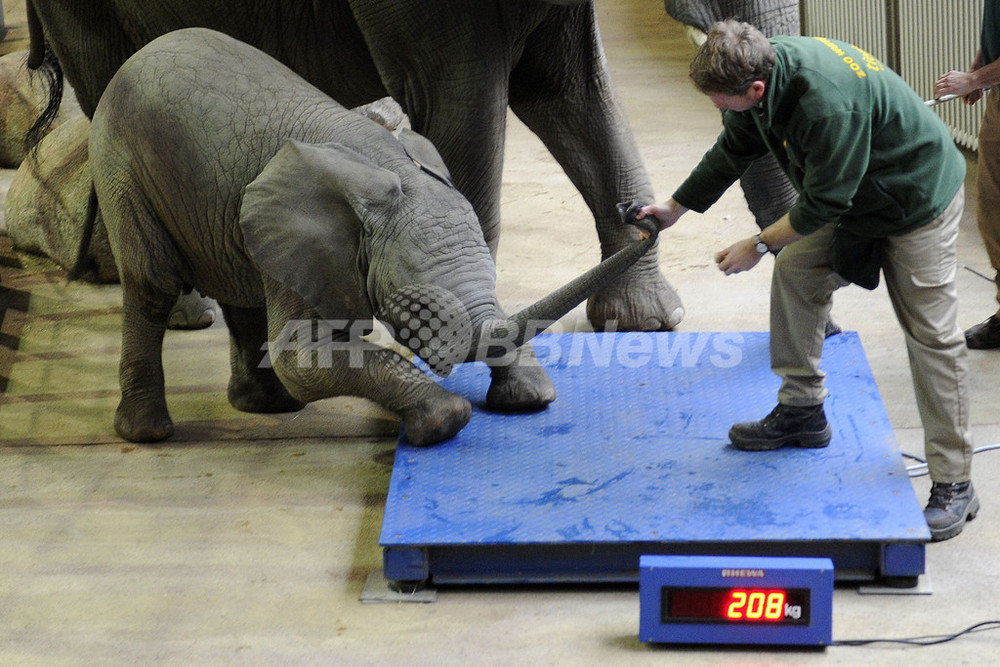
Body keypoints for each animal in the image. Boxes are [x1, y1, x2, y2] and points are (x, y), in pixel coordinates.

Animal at [23, 0, 684, 332]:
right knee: (110, 78)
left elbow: (569, 91)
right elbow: (463, 106)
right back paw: (188, 312)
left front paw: (648, 322)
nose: (645, 219)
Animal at [92, 30, 656, 448]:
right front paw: (446, 419)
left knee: (236, 285)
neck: (381, 162)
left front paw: (532, 400)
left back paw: (268, 407)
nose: (639, 214)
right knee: (153, 283)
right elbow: (304, 359)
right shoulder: (308, 237)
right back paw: (150, 433)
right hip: (122, 164)